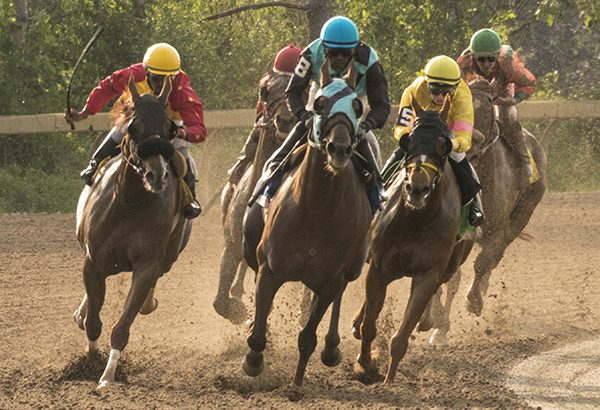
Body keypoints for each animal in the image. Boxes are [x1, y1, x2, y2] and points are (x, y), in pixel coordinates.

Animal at [73, 76, 192, 388]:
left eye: (169, 129)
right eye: (133, 127)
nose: (157, 175)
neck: (128, 204)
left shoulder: (146, 265)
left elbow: (122, 326)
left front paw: (107, 377)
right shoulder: (93, 261)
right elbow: (93, 322)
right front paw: (89, 361)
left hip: (170, 254)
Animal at [239, 59, 370, 386]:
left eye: (357, 106)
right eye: (319, 103)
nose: (339, 148)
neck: (316, 209)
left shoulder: (330, 279)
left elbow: (308, 336)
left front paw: (296, 384)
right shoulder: (269, 267)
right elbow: (259, 331)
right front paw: (253, 358)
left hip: (349, 268)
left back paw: (332, 348)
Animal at [350, 94, 472, 382]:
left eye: (443, 144)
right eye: (409, 140)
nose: (417, 188)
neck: (416, 220)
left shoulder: (427, 274)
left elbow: (401, 337)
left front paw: (389, 381)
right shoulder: (379, 267)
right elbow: (371, 323)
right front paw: (365, 365)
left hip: (453, 262)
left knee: (442, 284)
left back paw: (428, 321)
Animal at [426, 77, 548, 342]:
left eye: (485, 110)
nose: (468, 143)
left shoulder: (498, 229)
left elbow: (482, 263)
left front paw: (473, 302)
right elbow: (447, 276)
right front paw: (438, 322)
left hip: (523, 214)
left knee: (493, 257)